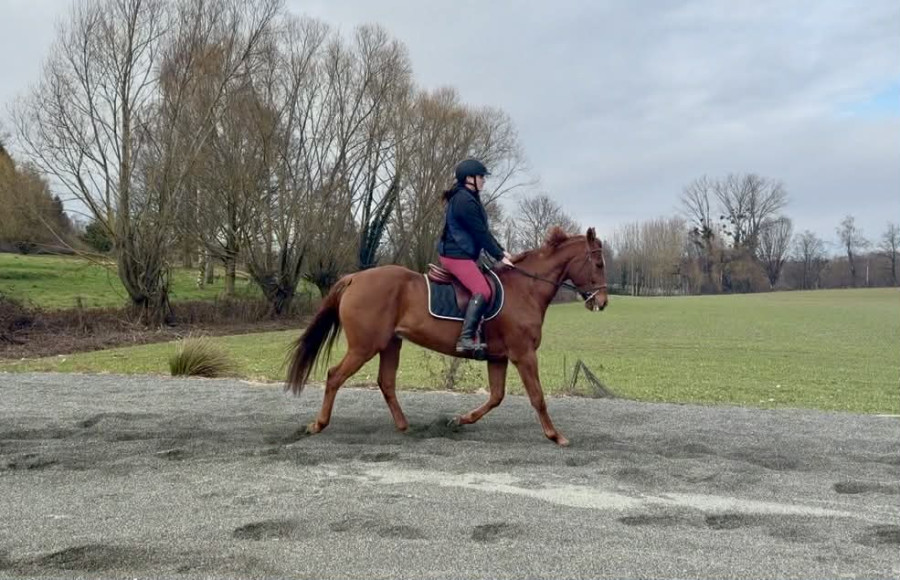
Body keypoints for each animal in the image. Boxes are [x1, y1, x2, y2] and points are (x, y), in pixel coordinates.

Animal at [286, 226, 609, 446]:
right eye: (598, 263)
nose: (602, 303)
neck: (526, 289)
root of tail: (355, 277)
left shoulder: (498, 357)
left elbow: (496, 397)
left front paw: (458, 420)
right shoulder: (524, 355)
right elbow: (538, 397)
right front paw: (556, 436)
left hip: (390, 344)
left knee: (386, 383)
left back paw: (405, 427)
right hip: (364, 346)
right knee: (334, 376)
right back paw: (317, 425)